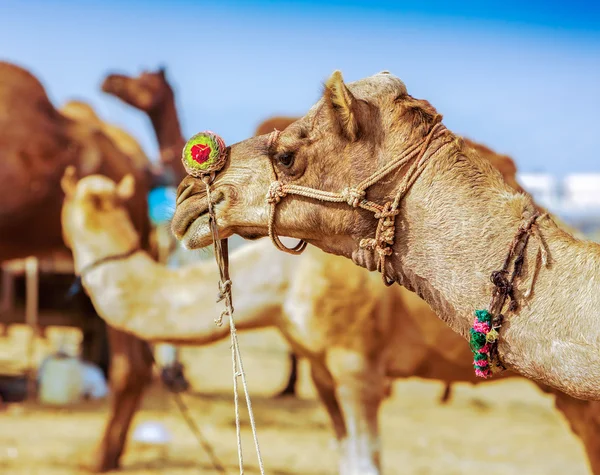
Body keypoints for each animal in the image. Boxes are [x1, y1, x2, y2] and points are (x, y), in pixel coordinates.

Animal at [63, 169, 600, 474]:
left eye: (81, 206)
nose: (184, 200)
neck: (286, 278)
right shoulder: (320, 369)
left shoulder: (356, 363)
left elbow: (366, 463)